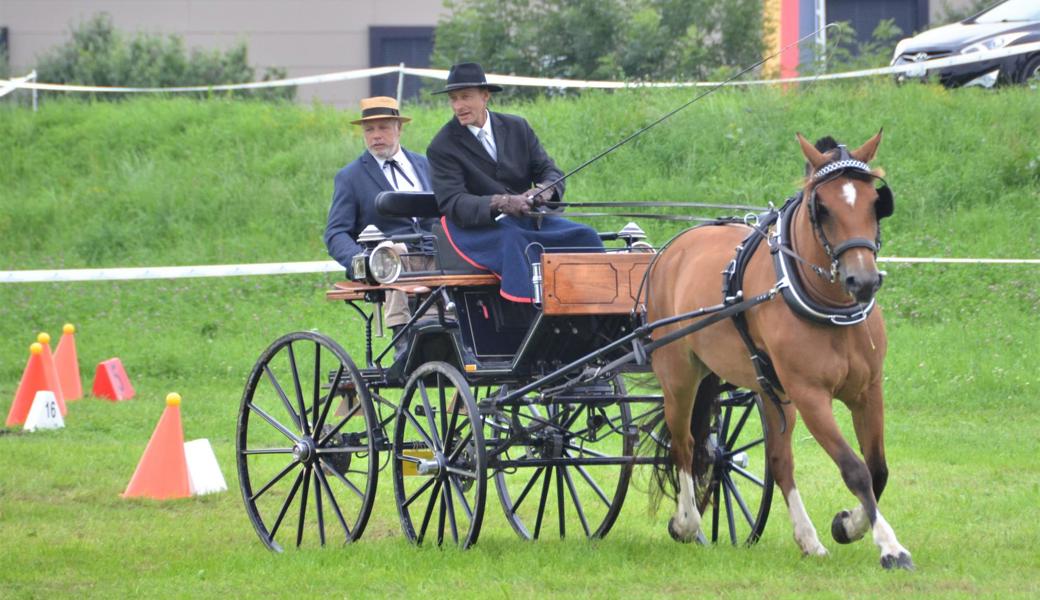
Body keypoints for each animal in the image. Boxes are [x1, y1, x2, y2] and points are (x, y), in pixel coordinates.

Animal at [644, 128, 915, 569]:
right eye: (822, 208)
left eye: (876, 202)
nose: (862, 281)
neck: (830, 309)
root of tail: (673, 248)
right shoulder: (810, 394)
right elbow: (854, 468)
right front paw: (890, 546)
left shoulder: (868, 390)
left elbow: (877, 469)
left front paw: (847, 525)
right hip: (679, 374)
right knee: (683, 446)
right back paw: (686, 522)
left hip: (769, 388)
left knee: (778, 461)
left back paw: (808, 539)